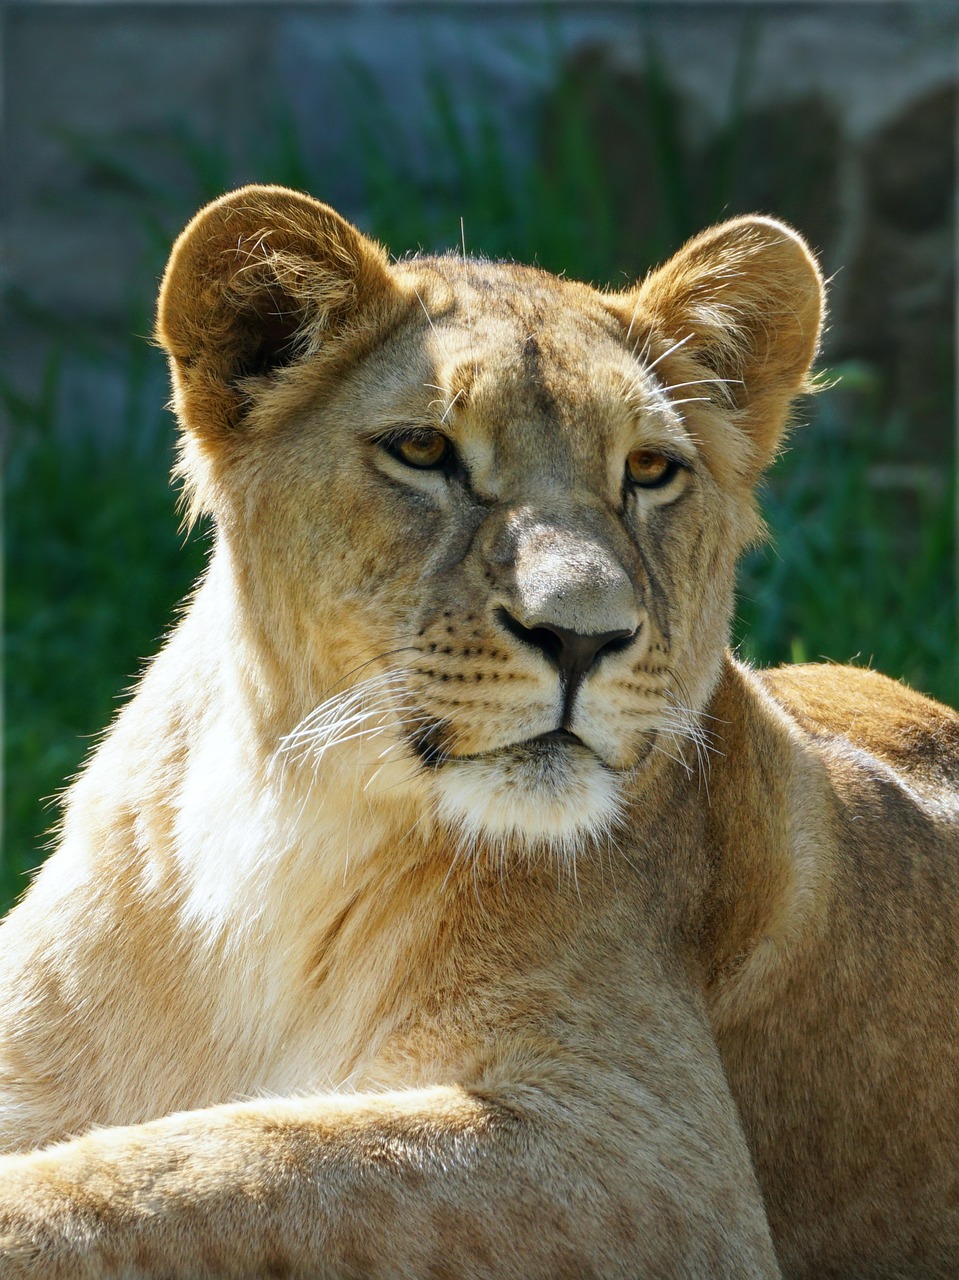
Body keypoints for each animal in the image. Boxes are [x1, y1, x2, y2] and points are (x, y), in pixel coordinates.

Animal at [0, 185, 956, 1279]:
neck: (280, 825)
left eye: (649, 469)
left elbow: (213, 1173)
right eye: (422, 450)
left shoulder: (653, 1162)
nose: (581, 636)